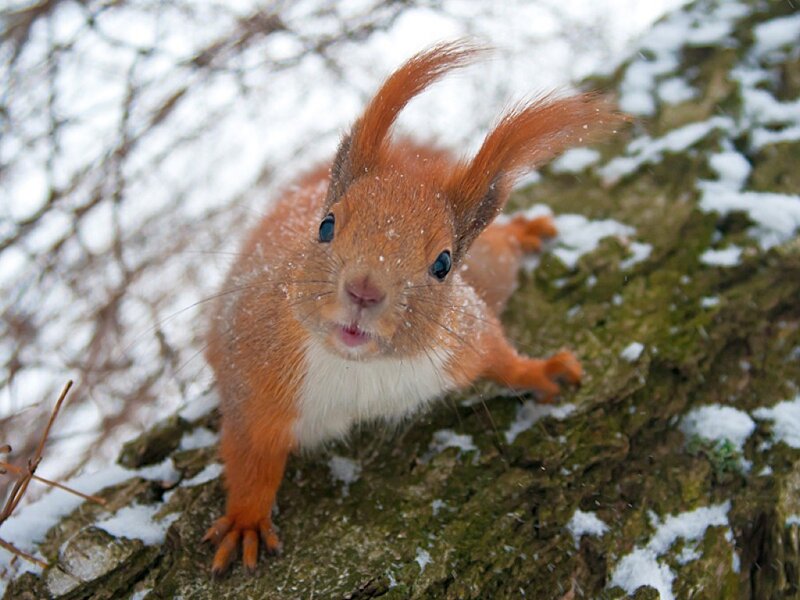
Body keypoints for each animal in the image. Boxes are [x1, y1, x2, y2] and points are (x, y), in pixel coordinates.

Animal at [202, 41, 624, 574]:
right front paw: (246, 521)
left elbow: (500, 356)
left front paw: (540, 370)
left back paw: (526, 229)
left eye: (443, 263)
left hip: (493, 267)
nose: (364, 291)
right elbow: (249, 451)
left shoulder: (461, 335)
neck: (358, 370)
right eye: (325, 225)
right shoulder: (251, 366)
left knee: (505, 243)